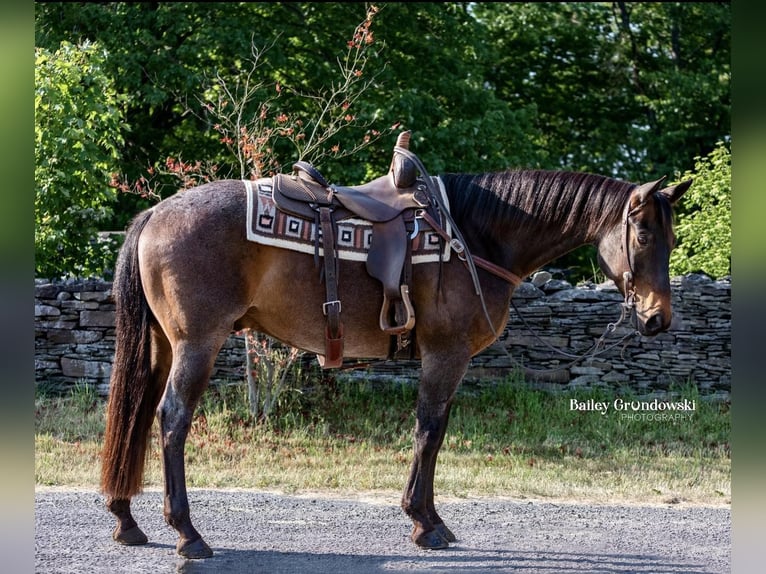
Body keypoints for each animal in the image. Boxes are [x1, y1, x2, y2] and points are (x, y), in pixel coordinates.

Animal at [99, 142, 692, 560]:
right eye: (643, 236)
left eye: (671, 240)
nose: (658, 317)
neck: (474, 237)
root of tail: (155, 214)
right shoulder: (446, 354)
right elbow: (429, 431)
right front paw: (424, 522)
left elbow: (435, 431)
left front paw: (427, 516)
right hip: (196, 344)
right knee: (172, 419)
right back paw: (187, 532)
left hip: (161, 345)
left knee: (135, 411)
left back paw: (126, 519)